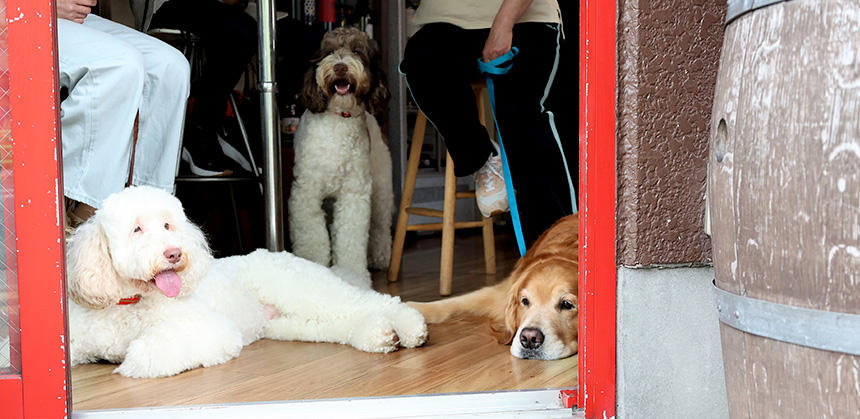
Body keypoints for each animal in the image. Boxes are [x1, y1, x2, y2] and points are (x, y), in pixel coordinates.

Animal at [67, 187, 426, 380]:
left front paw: (132, 363)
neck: (129, 302)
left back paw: (410, 328)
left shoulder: (210, 330)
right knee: (340, 324)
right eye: (136, 229)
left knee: (377, 302)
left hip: (307, 291)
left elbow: (151, 349)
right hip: (288, 324)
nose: (174, 253)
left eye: (168, 225)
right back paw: (379, 336)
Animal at [290, 27, 394, 288]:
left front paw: (353, 277)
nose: (339, 67)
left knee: (380, 227)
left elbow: (350, 238)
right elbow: (312, 237)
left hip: (381, 191)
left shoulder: (354, 195)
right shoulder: (306, 193)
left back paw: (379, 257)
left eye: (357, 50)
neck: (339, 118)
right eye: (329, 52)